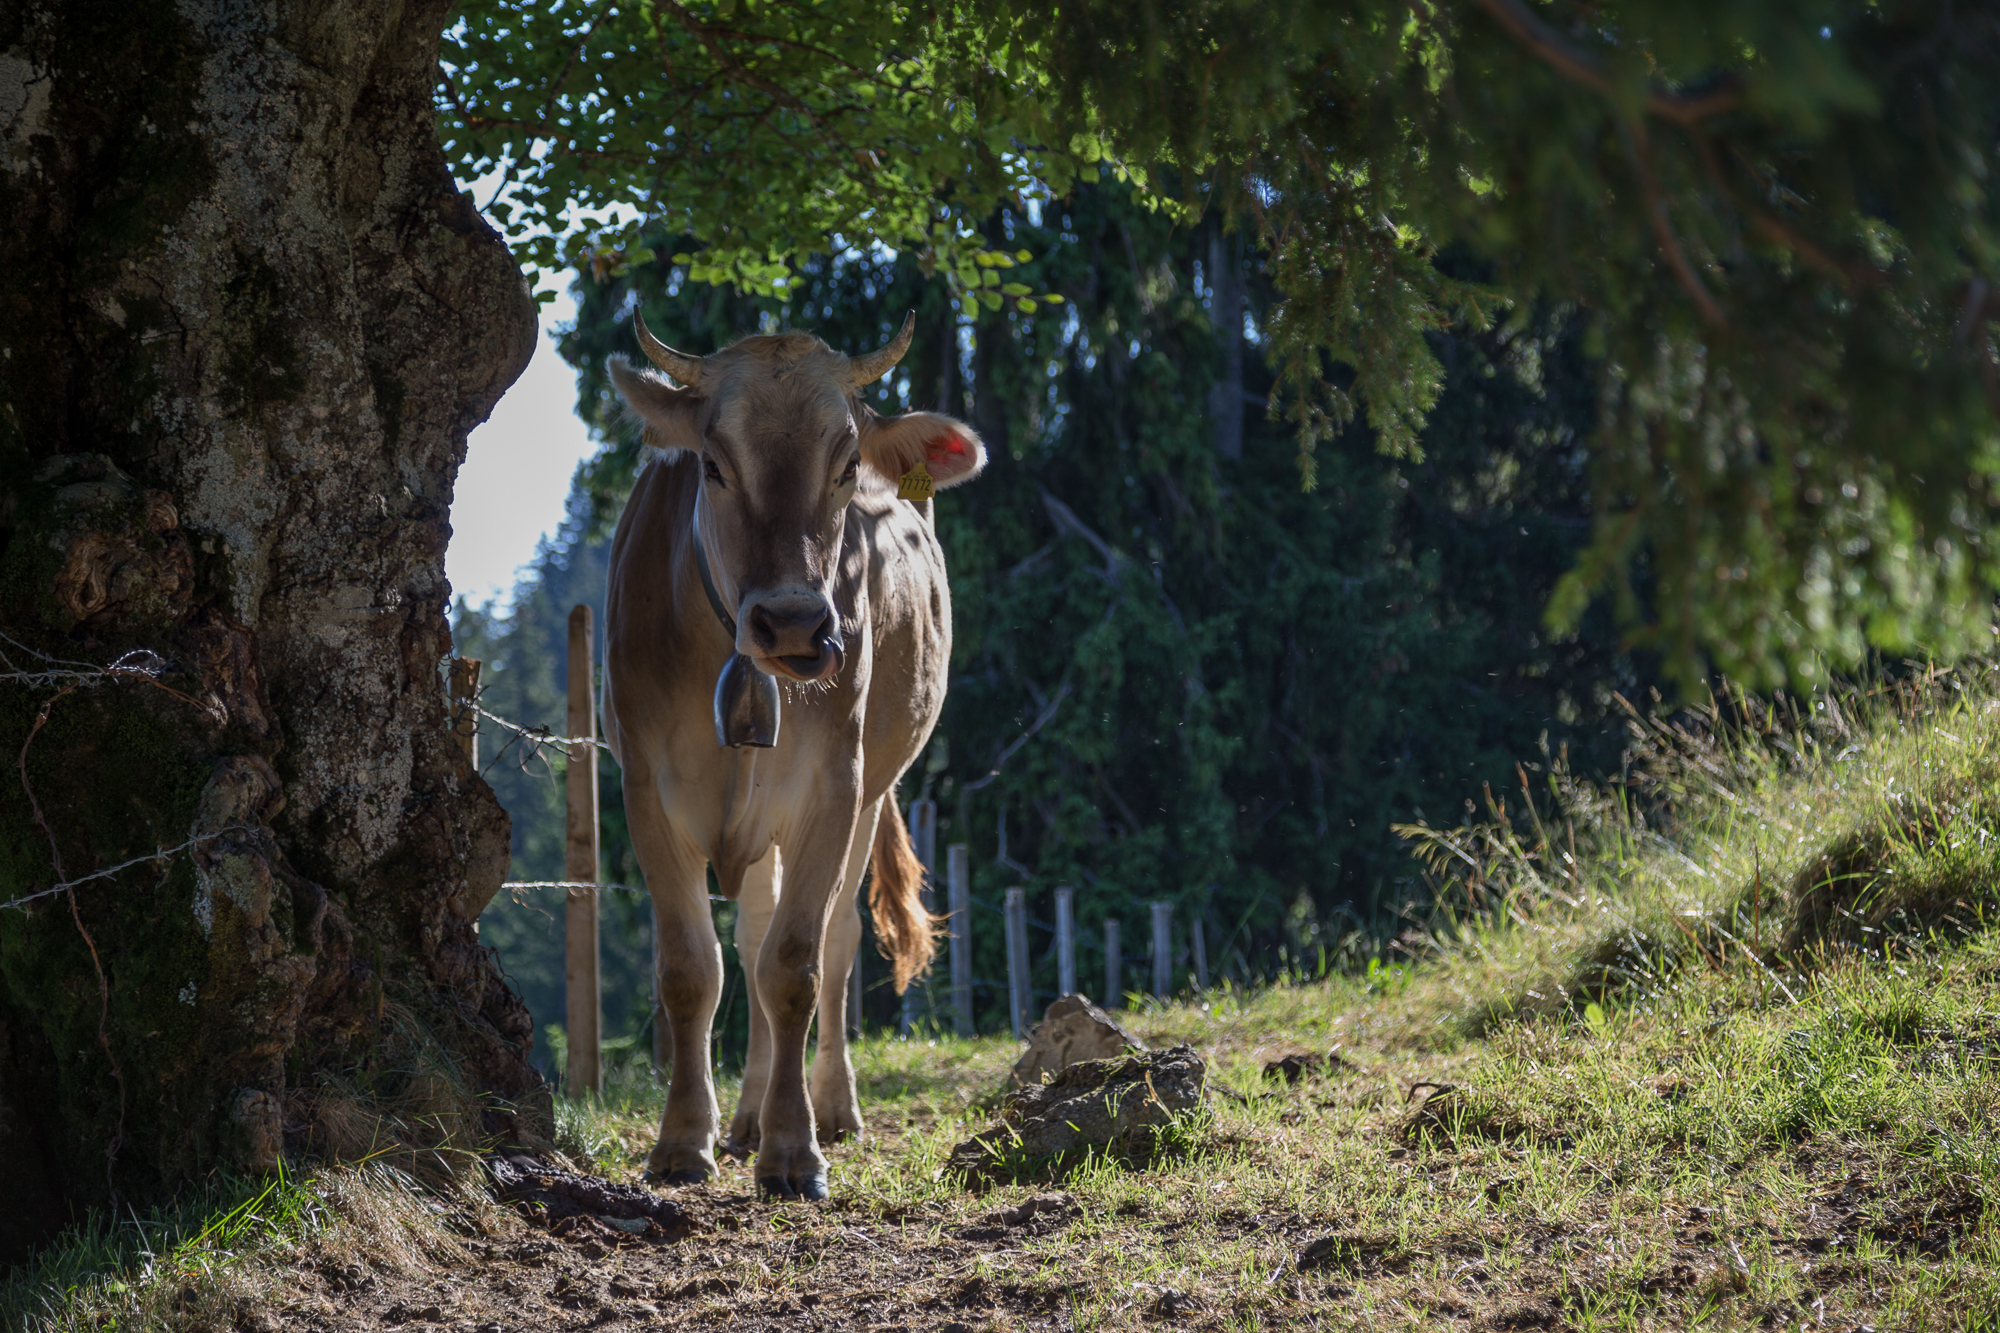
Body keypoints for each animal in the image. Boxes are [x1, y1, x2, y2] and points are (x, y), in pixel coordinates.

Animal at [600, 311, 985, 1199]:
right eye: (712, 464)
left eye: (846, 466)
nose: (795, 624)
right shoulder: (645, 787)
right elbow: (693, 967)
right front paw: (685, 1139)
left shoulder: (831, 787)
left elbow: (796, 963)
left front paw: (793, 1148)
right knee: (748, 937)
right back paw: (742, 1115)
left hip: (873, 788)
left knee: (834, 941)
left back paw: (833, 1107)